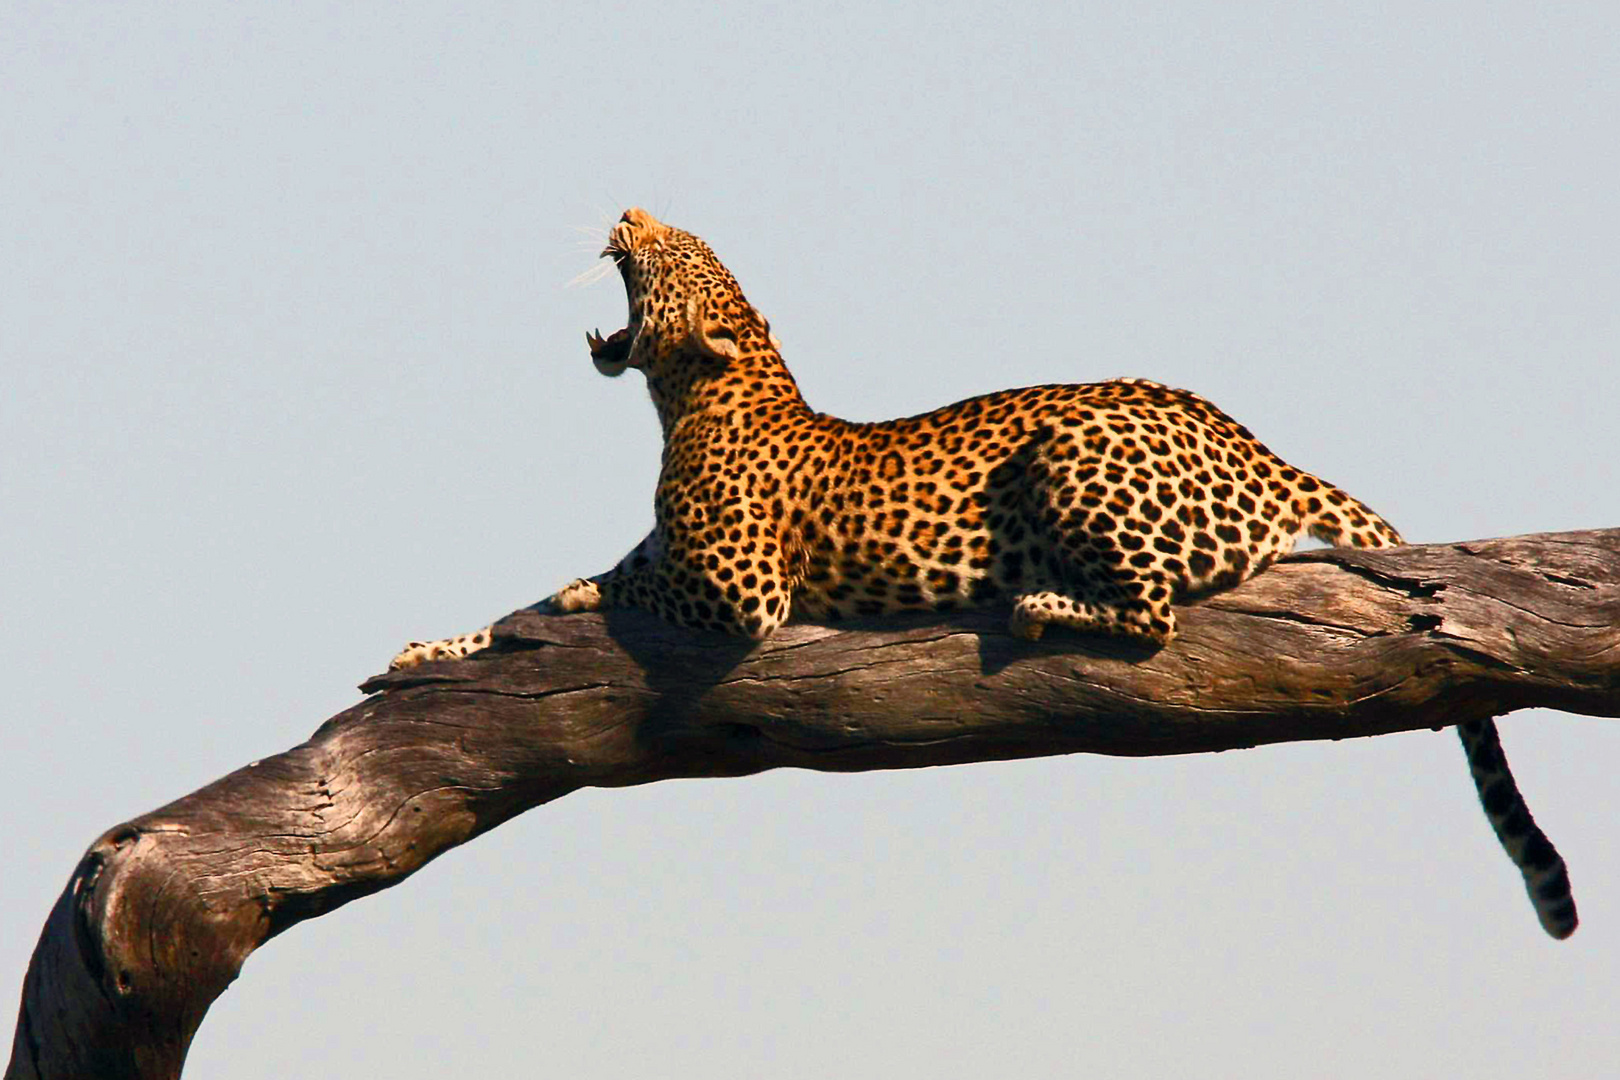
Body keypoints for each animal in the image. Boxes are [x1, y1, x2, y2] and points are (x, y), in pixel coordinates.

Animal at [392, 208, 1581, 939]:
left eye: (677, 251)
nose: (632, 210)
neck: (688, 397)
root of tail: (1258, 446)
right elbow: (540, 598)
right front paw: (427, 649)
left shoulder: (737, 588)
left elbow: (611, 592)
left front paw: (544, 610)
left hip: (1073, 456)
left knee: (1155, 616)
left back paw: (1045, 601)